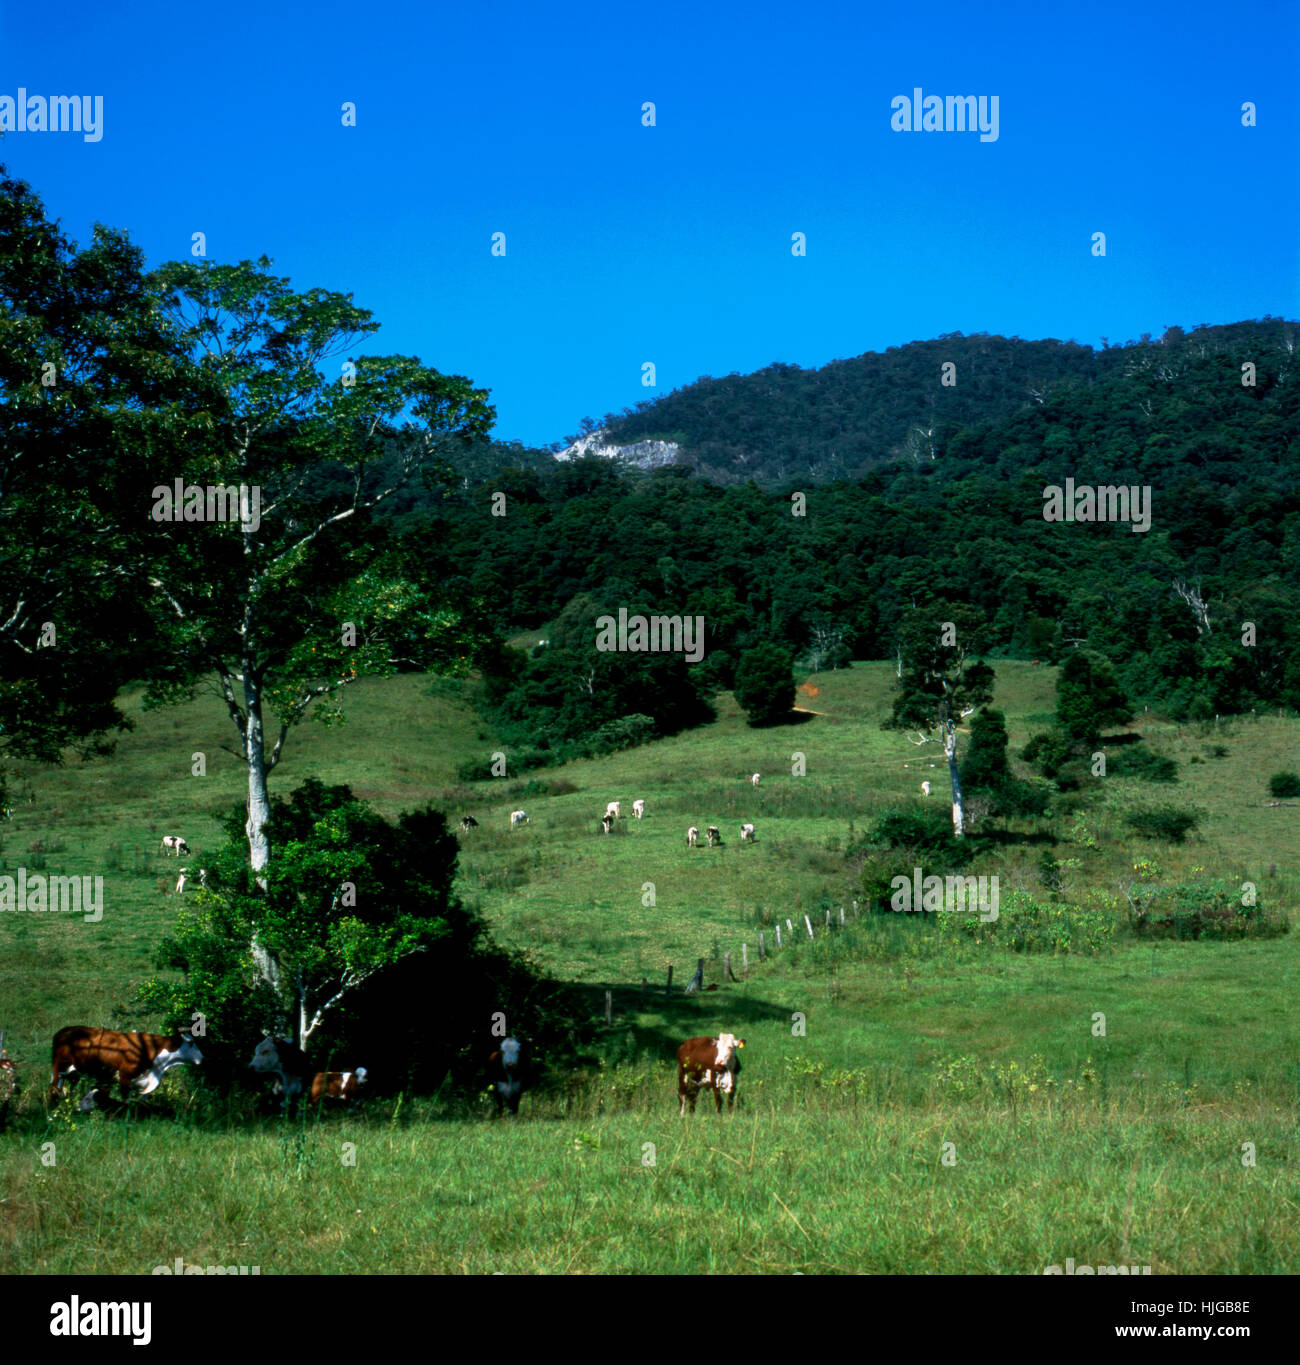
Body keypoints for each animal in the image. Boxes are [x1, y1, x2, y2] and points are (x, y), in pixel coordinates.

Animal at [49, 1026, 202, 1108]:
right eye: (190, 1042)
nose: (202, 1058)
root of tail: (63, 1031)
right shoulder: (124, 1076)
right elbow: (125, 1100)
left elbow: (143, 1099)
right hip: (58, 1066)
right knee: (53, 1088)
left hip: (71, 1072)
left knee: (62, 1089)